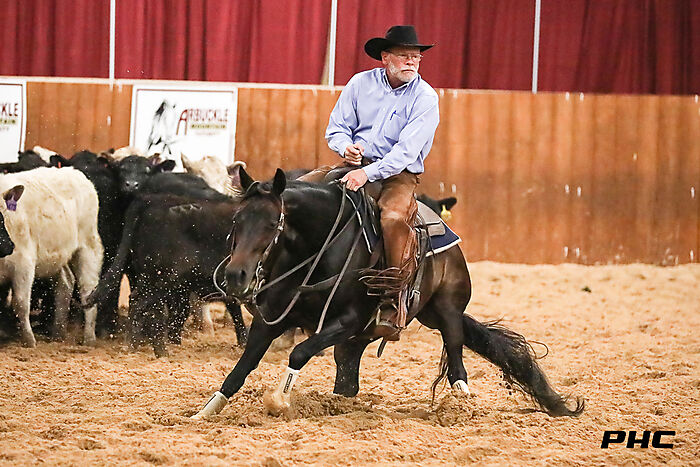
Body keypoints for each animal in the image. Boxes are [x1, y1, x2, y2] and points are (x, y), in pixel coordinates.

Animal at [0, 167, 103, 347]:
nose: (7, 245)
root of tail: (75, 172)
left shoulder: (24, 264)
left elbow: (20, 303)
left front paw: (29, 340)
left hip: (88, 248)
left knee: (88, 291)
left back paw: (89, 338)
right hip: (60, 257)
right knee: (66, 282)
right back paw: (58, 332)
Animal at [192, 168, 584, 419]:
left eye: (273, 223)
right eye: (236, 220)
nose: (235, 276)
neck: (316, 250)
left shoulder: (347, 321)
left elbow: (299, 353)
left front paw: (279, 401)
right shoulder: (271, 320)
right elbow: (242, 367)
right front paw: (205, 411)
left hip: (446, 308)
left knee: (456, 354)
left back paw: (461, 403)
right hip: (365, 337)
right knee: (348, 375)